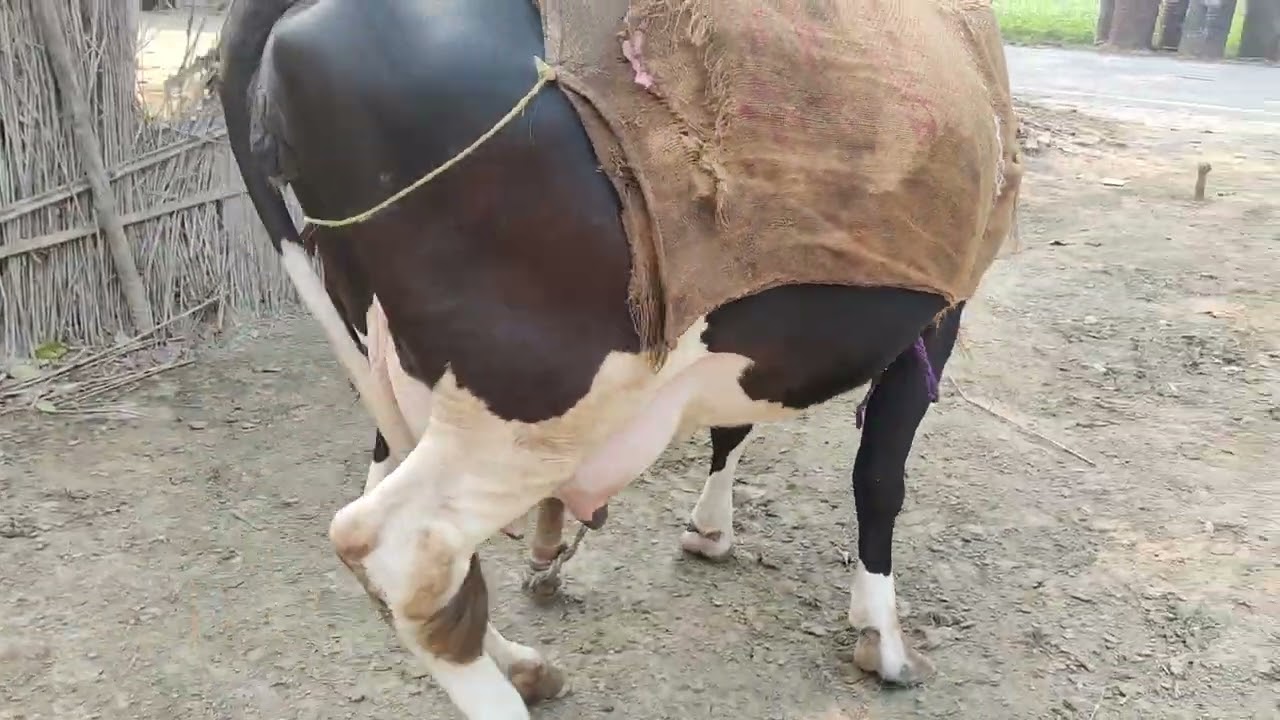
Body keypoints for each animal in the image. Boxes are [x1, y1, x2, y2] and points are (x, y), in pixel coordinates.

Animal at [217, 0, 985, 717]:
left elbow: (734, 426)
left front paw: (710, 531)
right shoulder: (942, 309)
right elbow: (879, 476)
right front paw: (883, 640)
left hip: (393, 359)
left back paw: (523, 664)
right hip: (532, 399)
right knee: (404, 549)